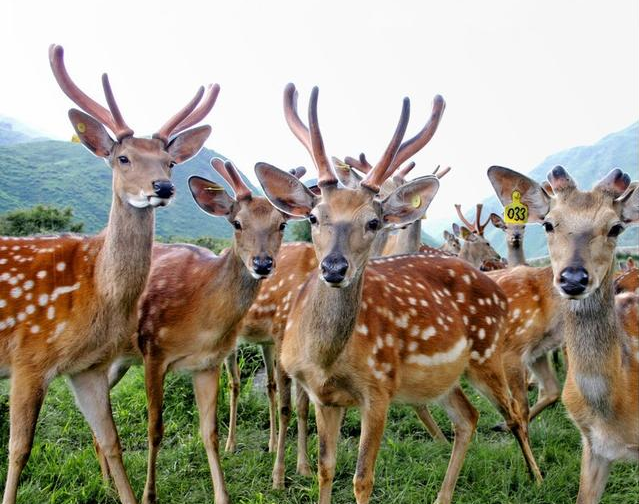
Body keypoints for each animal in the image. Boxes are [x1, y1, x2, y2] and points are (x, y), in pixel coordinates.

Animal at [0, 44, 218, 504]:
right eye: (122, 157)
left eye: (170, 162)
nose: (163, 188)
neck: (95, 292)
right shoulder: (29, 356)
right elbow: (19, 449)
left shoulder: (89, 366)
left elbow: (112, 440)